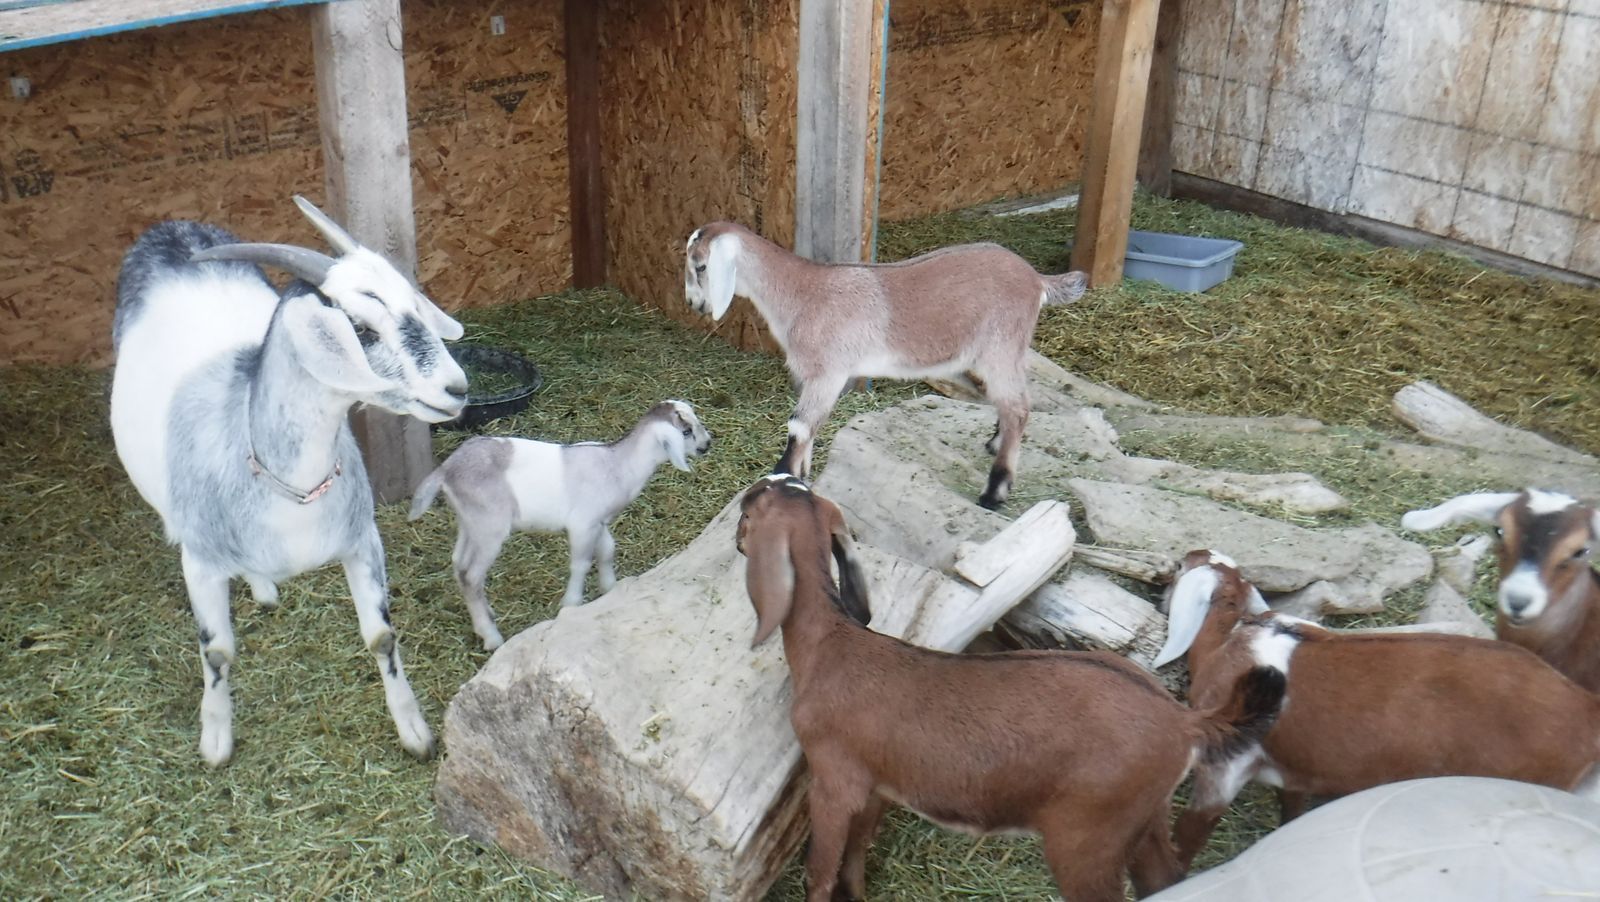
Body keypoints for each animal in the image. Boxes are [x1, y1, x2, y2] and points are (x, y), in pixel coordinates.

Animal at [110, 197, 468, 766]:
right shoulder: (201, 563)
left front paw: (415, 732)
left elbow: (382, 638)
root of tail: (173, 229)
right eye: (361, 328)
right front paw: (215, 741)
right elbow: (217, 651)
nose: (457, 389)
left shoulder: (362, 541)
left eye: (414, 307)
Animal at [408, 400, 713, 650]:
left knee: (459, 564)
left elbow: (607, 551)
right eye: (686, 431)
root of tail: (446, 470)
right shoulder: (582, 523)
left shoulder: (598, 522)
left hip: (469, 521)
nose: (707, 444)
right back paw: (491, 637)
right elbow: (581, 563)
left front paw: (610, 589)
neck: (617, 464)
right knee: (472, 575)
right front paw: (571, 603)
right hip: (489, 526)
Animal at [687, 222, 1087, 509]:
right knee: (1010, 402)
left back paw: (994, 493)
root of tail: (1036, 279)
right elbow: (810, 429)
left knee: (1018, 407)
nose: (693, 304)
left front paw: (782, 479)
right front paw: (803, 477)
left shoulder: (830, 371)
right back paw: (995, 442)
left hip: (1000, 344)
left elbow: (798, 426)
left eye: (700, 266)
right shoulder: (812, 375)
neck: (803, 293)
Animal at [735, 475, 1285, 902]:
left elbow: (821, 870)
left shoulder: (833, 778)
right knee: (1166, 878)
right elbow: (855, 854)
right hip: (1145, 817)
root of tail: (1183, 719)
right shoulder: (877, 783)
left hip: (1088, 836)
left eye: (751, 506)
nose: (739, 530)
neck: (832, 644)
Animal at [1154, 549, 1600, 868]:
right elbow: (1292, 809)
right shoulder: (1297, 768)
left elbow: (1189, 838)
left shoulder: (1224, 767)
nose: (1169, 570)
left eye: (1179, 567)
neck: (1235, 642)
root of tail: (1582, 707)